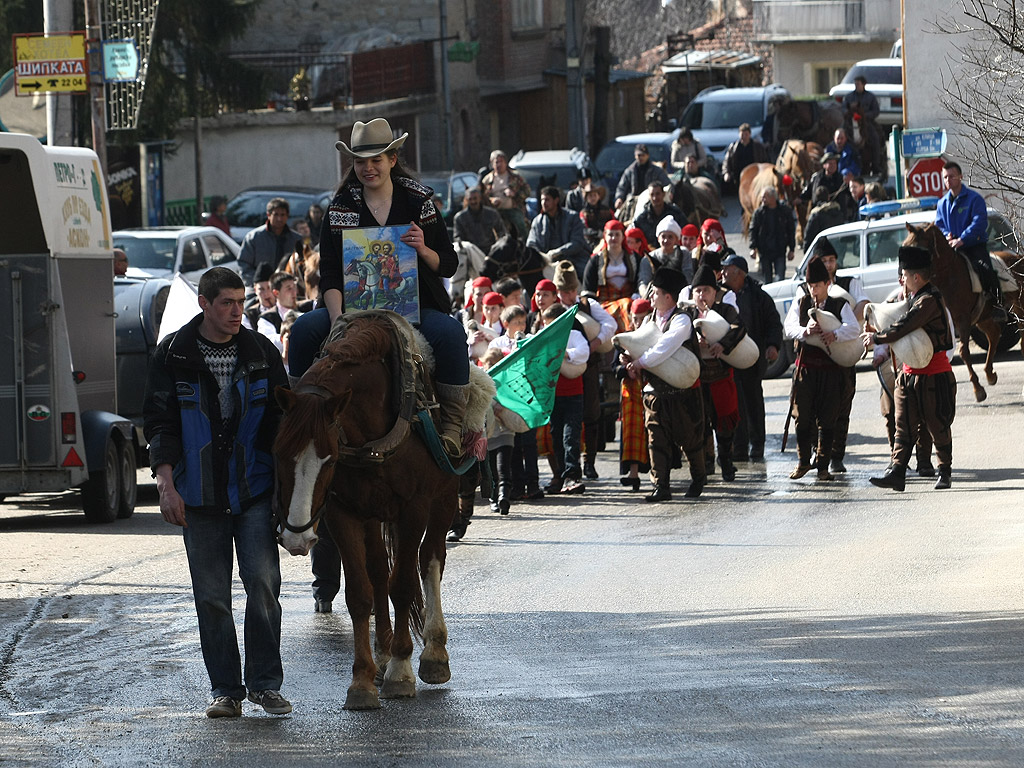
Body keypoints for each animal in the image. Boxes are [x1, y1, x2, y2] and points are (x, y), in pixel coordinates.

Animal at [276, 315, 460, 712]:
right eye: (277, 451)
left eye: (329, 458)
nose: (297, 536)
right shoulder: (342, 511)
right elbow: (360, 593)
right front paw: (362, 680)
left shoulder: (413, 507)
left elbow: (403, 584)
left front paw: (401, 671)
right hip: (373, 511)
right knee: (378, 568)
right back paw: (383, 649)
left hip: (444, 496)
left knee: (431, 558)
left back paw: (433, 652)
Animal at [901, 222, 1019, 403]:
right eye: (905, 245)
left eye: (919, 250)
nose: (903, 279)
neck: (947, 277)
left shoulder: (962, 320)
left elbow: (964, 351)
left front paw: (978, 389)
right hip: (983, 317)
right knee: (994, 334)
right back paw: (990, 374)